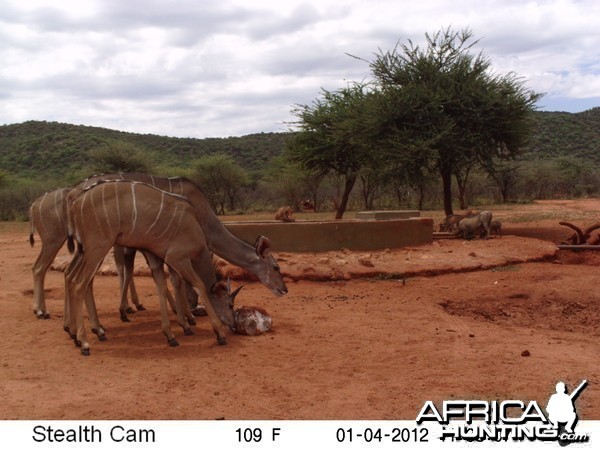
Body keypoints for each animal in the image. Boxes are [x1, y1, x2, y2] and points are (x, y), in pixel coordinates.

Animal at [65, 179, 234, 356]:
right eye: (230, 304)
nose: (234, 325)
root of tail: (76, 203)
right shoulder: (178, 258)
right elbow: (198, 285)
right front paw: (219, 334)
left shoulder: (158, 257)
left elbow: (165, 285)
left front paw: (175, 332)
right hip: (97, 249)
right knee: (79, 284)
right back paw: (84, 342)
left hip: (86, 251)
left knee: (74, 278)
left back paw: (84, 333)